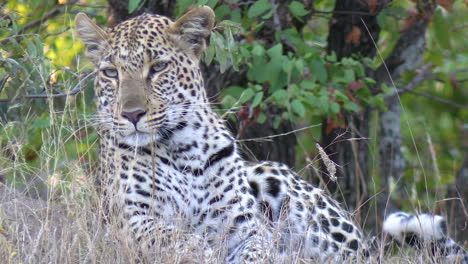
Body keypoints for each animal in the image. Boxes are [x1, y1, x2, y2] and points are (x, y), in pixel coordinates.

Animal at [75, 5, 466, 262]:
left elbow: (256, 250)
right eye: (110, 73)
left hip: (272, 177)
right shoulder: (132, 222)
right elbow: (178, 239)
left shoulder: (245, 227)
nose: (131, 114)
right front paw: (201, 251)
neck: (180, 146)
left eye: (157, 68)